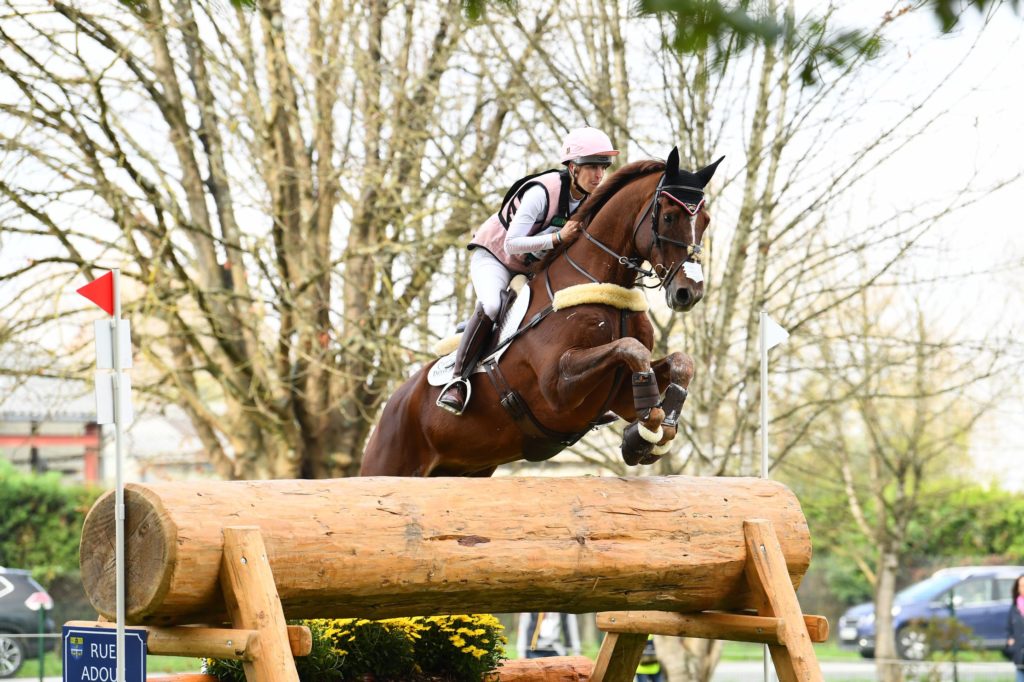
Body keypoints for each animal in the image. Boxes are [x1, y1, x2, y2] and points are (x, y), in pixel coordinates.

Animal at [364, 148, 724, 475]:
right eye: (668, 216)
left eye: (706, 221)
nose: (689, 292)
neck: (601, 284)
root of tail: (393, 403)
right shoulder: (557, 386)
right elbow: (630, 348)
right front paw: (642, 435)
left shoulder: (620, 391)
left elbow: (680, 363)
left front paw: (656, 431)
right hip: (389, 463)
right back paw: (453, 394)